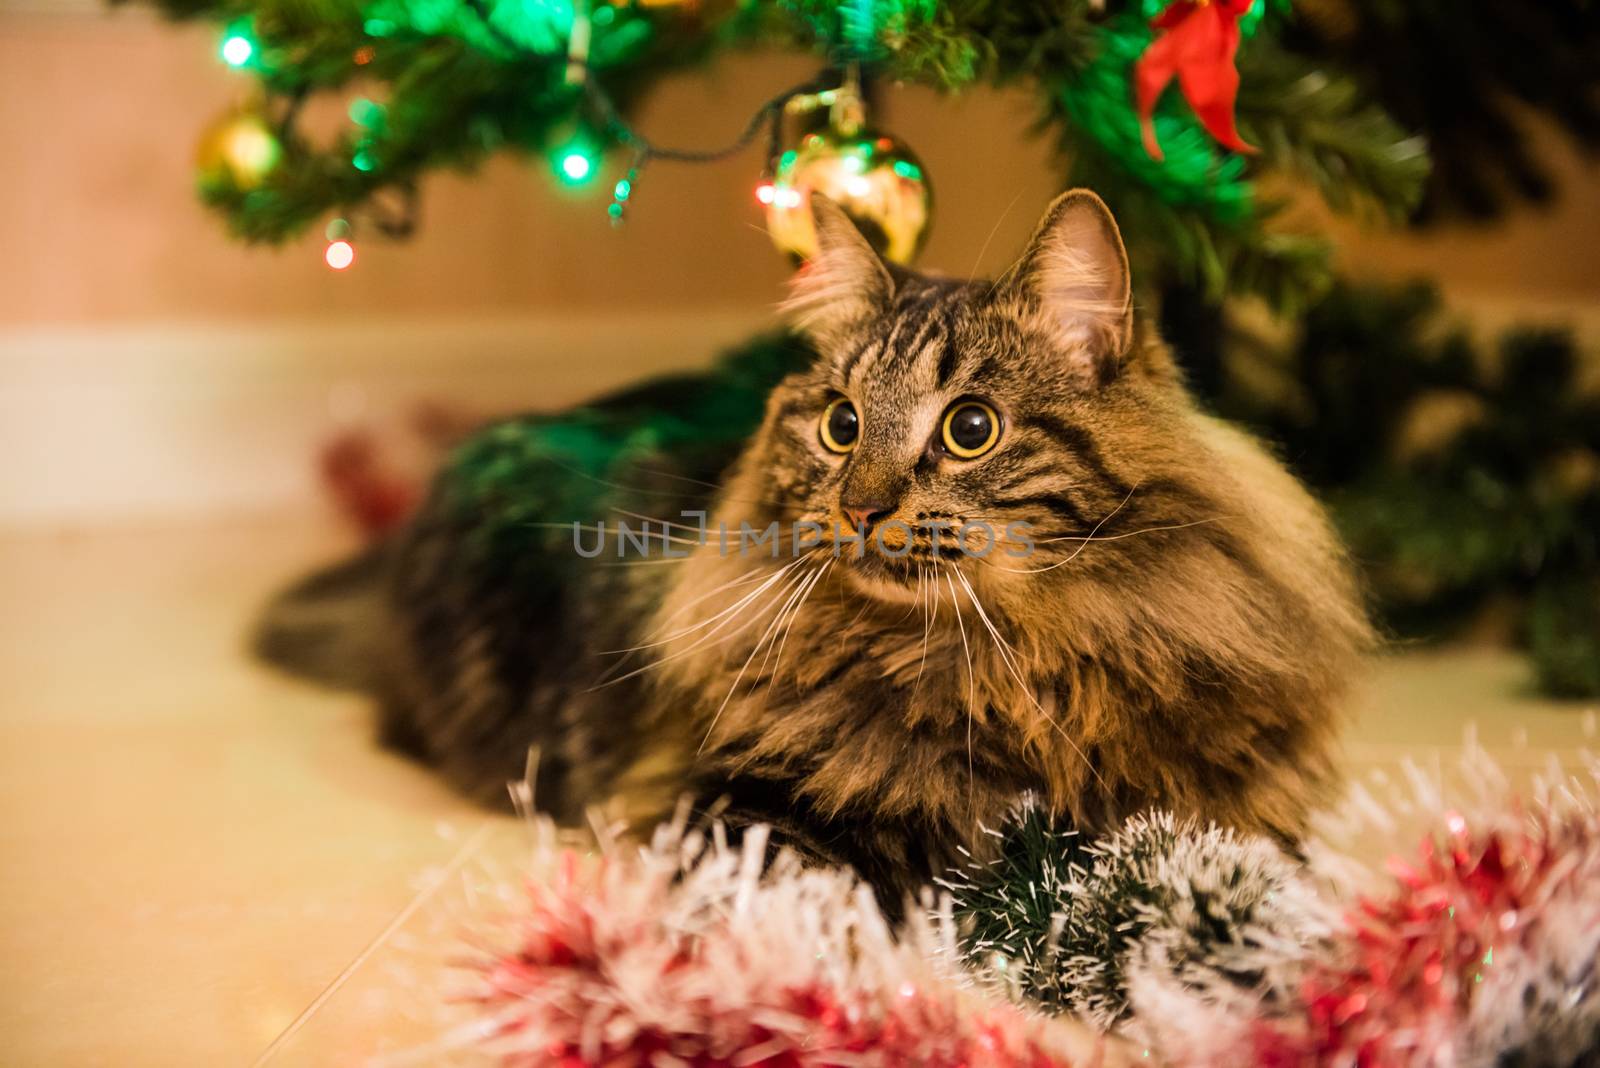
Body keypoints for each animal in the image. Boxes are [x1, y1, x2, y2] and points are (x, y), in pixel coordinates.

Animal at [256, 191, 1369, 908]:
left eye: (970, 429)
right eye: (840, 425)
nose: (864, 504)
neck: (1010, 669)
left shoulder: (1224, 820)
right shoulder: (736, 807)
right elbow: (820, 902)